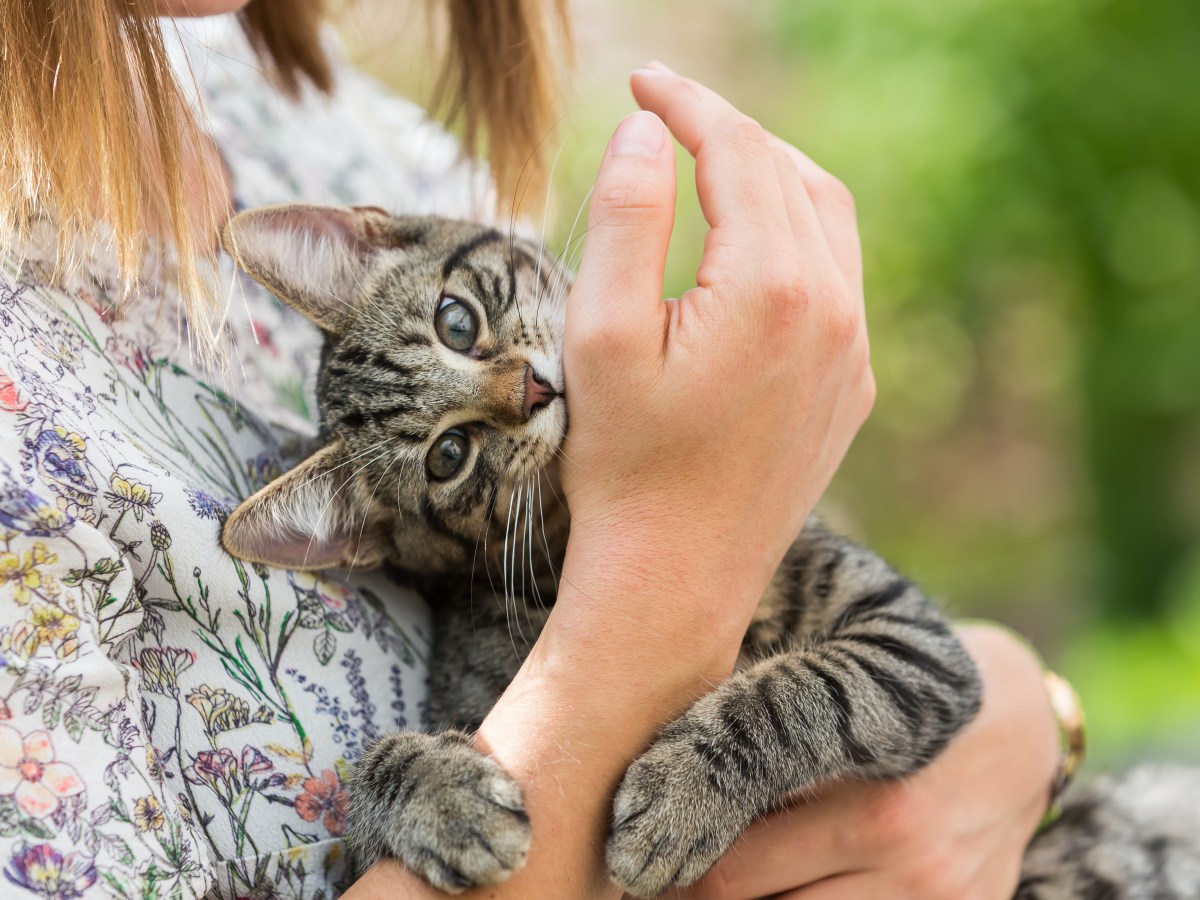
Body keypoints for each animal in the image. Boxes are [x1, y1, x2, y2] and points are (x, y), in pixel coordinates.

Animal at [218, 204, 1200, 900]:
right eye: (449, 456)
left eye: (458, 322)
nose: (533, 389)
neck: (565, 541)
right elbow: (362, 808)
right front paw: (437, 795)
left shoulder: (913, 640)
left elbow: (813, 690)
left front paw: (687, 789)